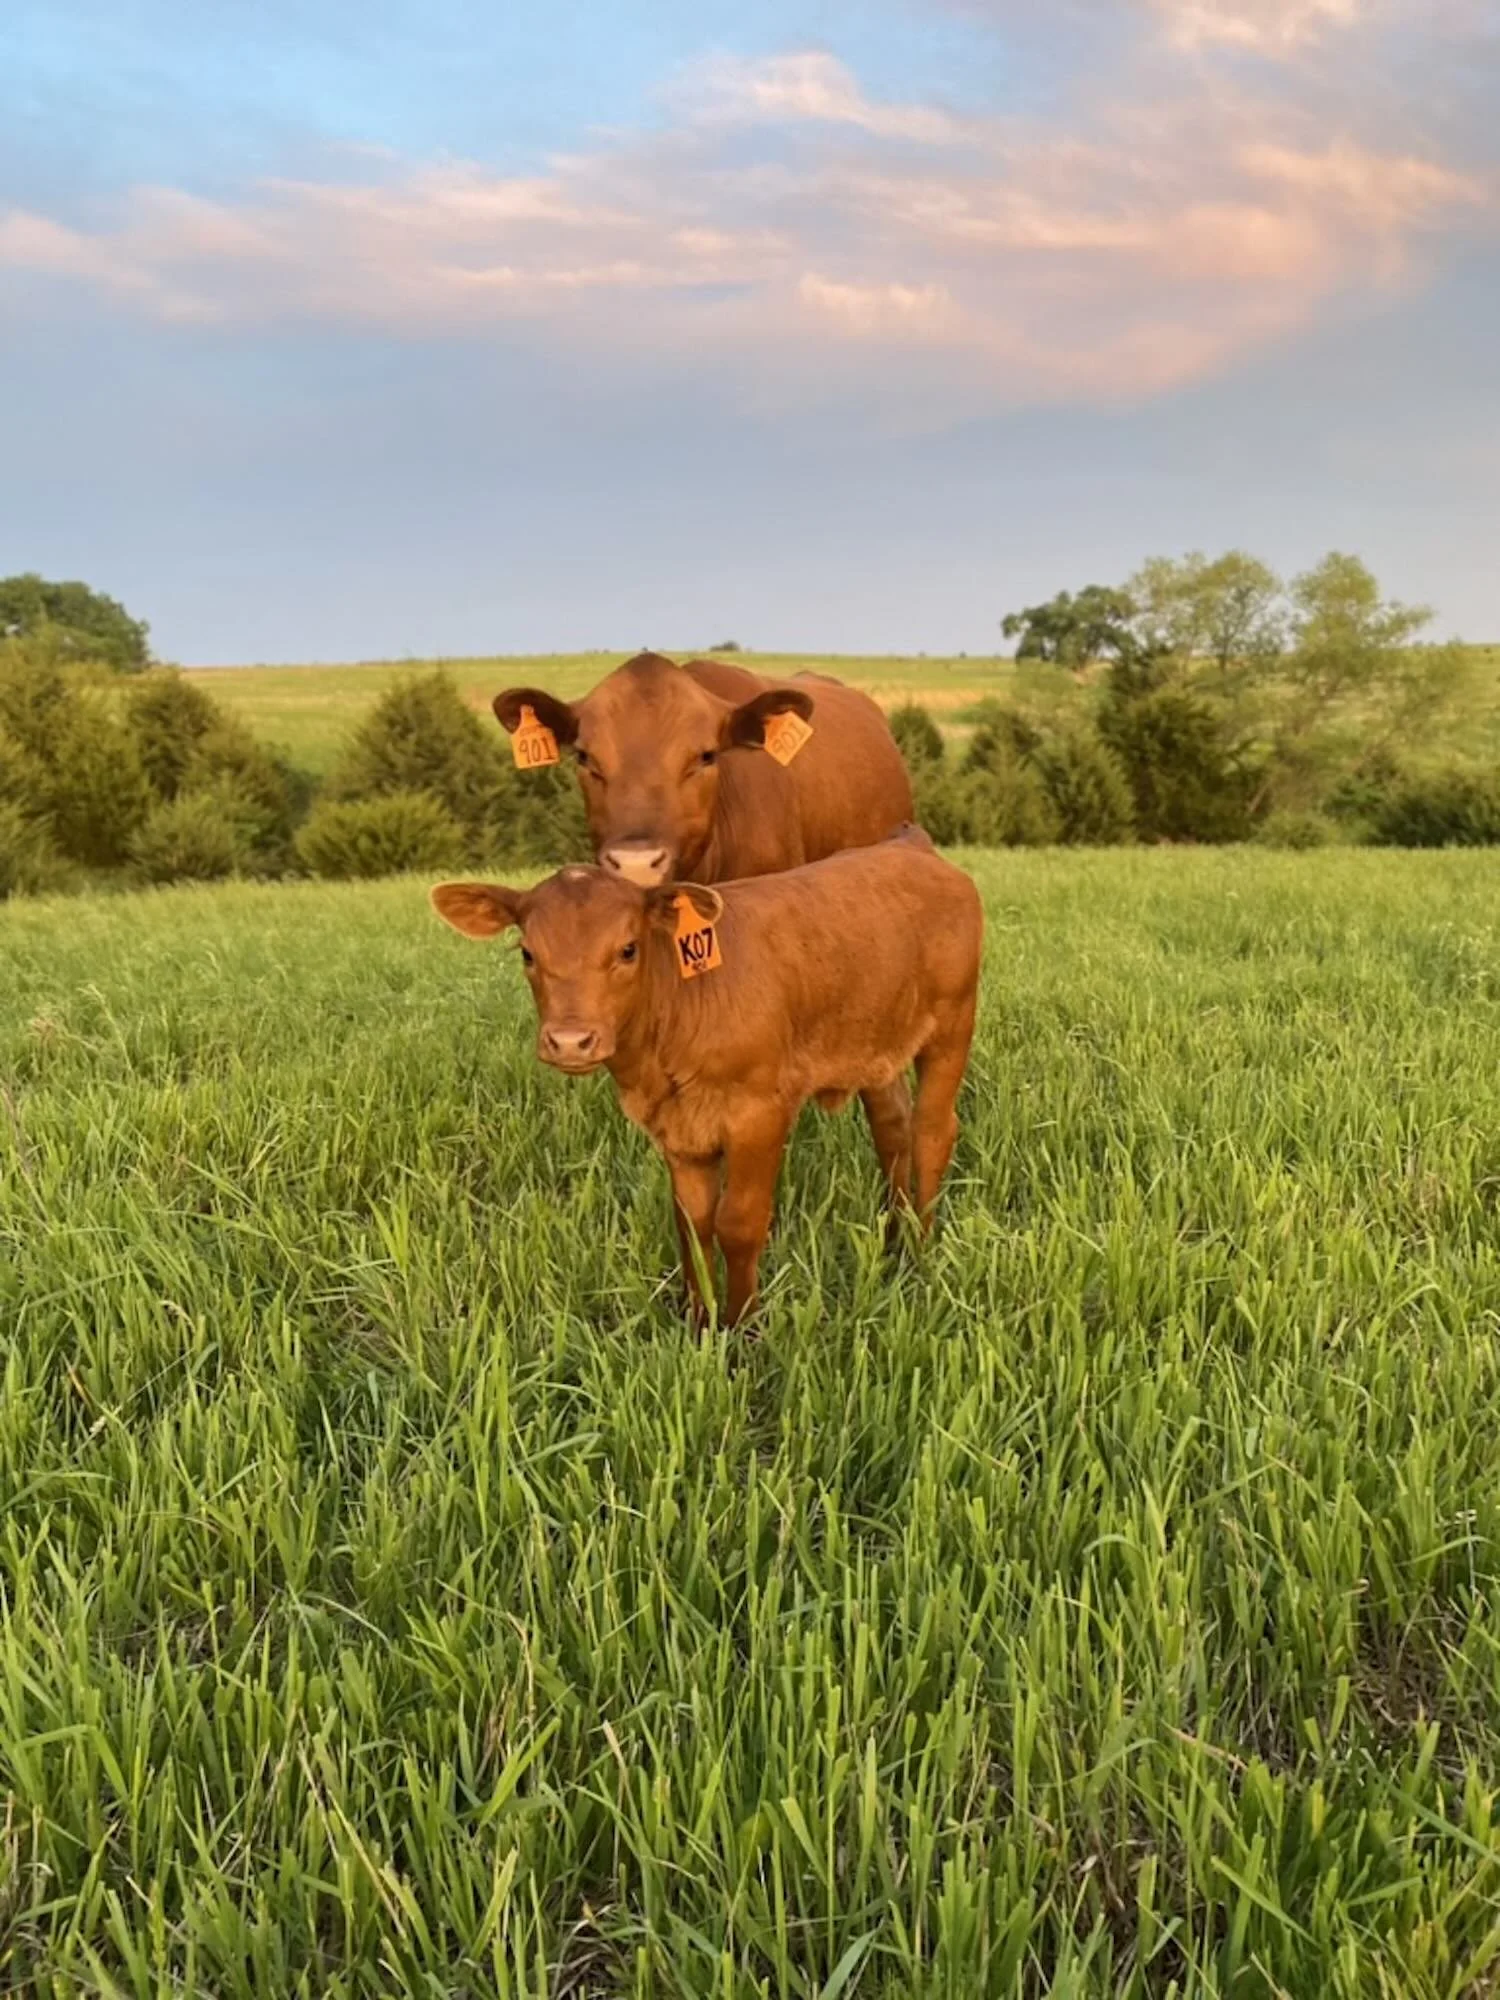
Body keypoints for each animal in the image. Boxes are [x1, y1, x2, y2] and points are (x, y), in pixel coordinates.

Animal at [431, 825, 982, 1327]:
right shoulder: (678, 1129)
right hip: (876, 1043)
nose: (570, 1040)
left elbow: (737, 1222)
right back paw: (894, 1241)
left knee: (932, 1131)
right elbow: (692, 1224)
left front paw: (742, 1332)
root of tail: (909, 843)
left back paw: (921, 1251)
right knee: (893, 1129)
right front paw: (699, 1324)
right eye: (528, 953)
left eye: (628, 949)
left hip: (952, 1026)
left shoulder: (759, 1114)